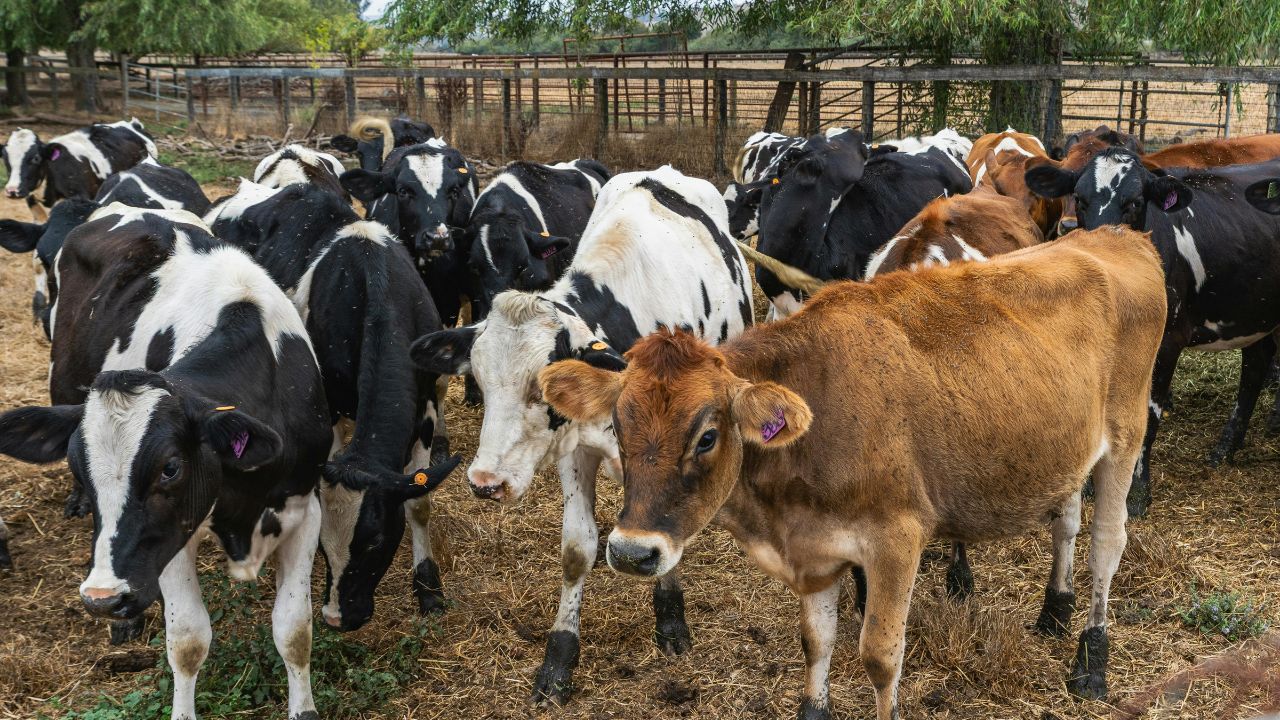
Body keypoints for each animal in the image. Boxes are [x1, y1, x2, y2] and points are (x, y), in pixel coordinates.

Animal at [0, 207, 343, 720]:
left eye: (170, 468)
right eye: (79, 469)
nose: (102, 599)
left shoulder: (304, 509)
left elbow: (294, 628)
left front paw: (303, 708)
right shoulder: (174, 536)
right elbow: (187, 640)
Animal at [206, 180, 457, 631]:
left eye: (375, 542)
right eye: (323, 546)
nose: (338, 617)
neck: (377, 290)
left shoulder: (427, 403)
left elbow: (419, 501)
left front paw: (428, 587)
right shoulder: (334, 404)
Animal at [538, 227, 1167, 720]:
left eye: (707, 436)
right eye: (618, 427)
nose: (631, 552)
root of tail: (1117, 236)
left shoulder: (897, 539)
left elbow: (880, 658)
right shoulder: (817, 549)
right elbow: (816, 642)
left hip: (1125, 438)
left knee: (1105, 545)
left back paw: (1091, 660)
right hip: (1068, 449)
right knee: (1066, 523)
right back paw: (1054, 613)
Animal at [1026, 149, 1280, 517]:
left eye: (1134, 202)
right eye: (1080, 199)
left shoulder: (1167, 341)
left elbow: (1150, 413)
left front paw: (1137, 493)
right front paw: (1091, 487)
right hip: (1252, 312)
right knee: (1256, 365)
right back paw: (1225, 449)